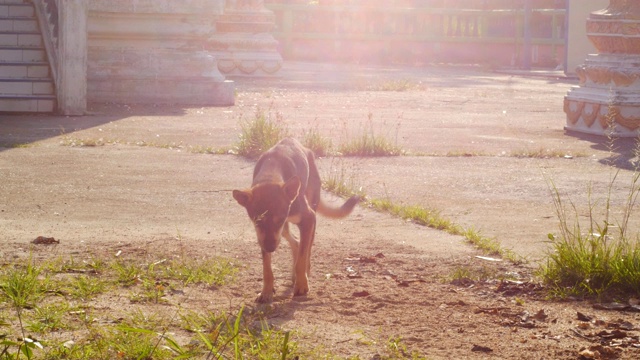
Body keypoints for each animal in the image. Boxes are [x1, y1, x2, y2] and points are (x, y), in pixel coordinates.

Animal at [232, 139, 360, 302]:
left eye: (279, 220)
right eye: (257, 221)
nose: (270, 248)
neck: (270, 175)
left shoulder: (306, 219)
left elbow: (302, 259)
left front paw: (301, 285)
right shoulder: (263, 236)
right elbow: (267, 267)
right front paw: (266, 291)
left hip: (310, 216)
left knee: (306, 249)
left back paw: (304, 273)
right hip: (285, 230)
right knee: (297, 243)